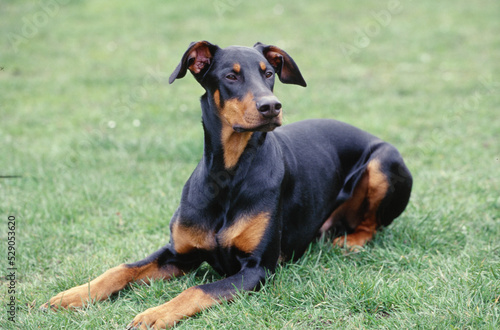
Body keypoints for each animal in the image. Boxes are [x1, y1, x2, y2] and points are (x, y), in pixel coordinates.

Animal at [42, 41, 410, 328]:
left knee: (372, 224)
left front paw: (155, 313)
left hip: (384, 161)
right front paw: (74, 295)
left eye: (268, 73)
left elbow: (197, 289)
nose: (271, 106)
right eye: (231, 76)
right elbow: (121, 269)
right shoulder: (178, 253)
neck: (227, 175)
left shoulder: (258, 269)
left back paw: (350, 242)